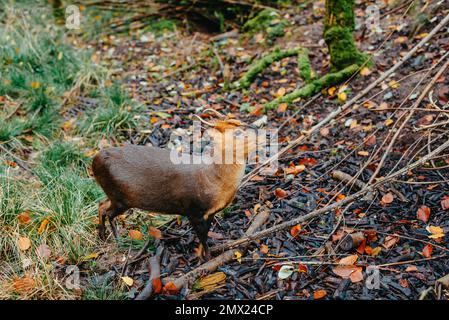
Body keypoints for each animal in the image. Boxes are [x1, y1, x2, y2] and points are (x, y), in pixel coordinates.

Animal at [91, 111, 256, 258]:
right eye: (237, 132)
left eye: (240, 121)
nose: (257, 129)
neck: (213, 179)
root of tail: (95, 160)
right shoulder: (193, 209)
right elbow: (202, 236)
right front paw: (206, 260)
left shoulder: (210, 213)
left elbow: (205, 235)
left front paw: (201, 255)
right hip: (121, 197)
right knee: (108, 212)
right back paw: (116, 239)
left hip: (114, 195)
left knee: (101, 205)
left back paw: (103, 236)